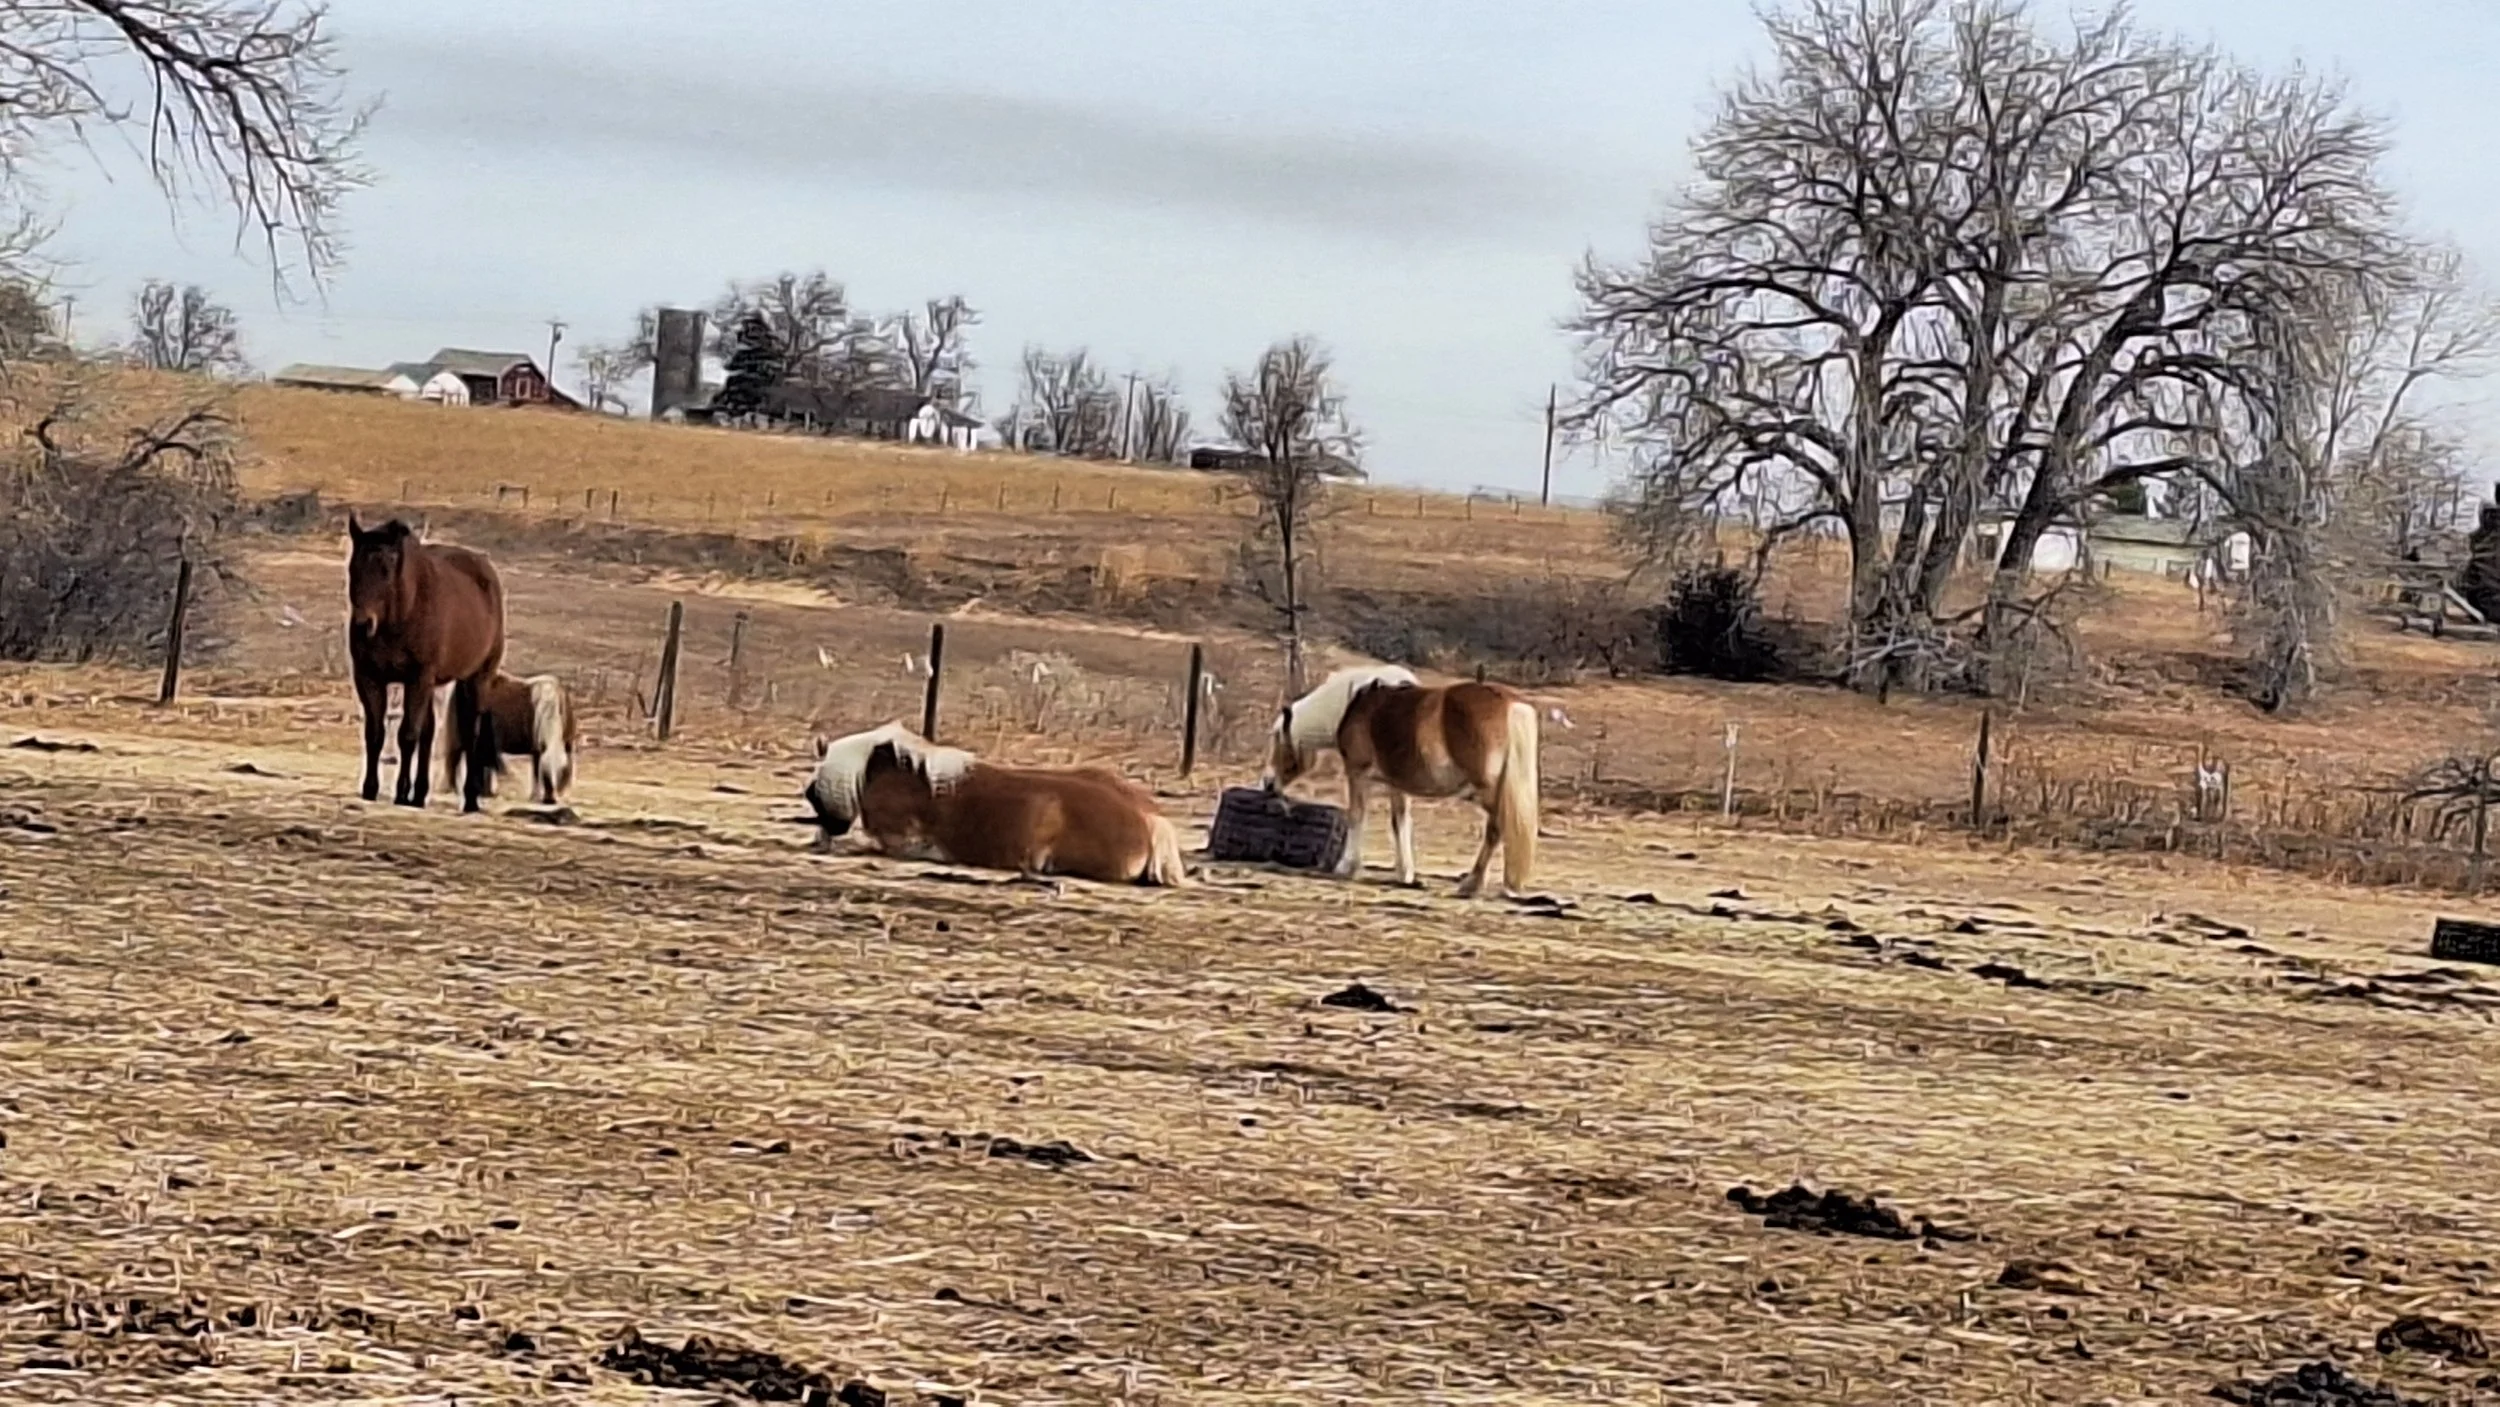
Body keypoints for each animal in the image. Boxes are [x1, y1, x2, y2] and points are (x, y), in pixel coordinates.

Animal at [344, 514, 505, 810]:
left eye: (386, 571)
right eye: (353, 569)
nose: (363, 625)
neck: (400, 615)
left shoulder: (417, 679)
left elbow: (408, 735)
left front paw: (400, 792)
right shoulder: (369, 678)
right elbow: (376, 734)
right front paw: (370, 789)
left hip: (476, 679)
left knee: (470, 733)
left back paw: (470, 799)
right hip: (431, 686)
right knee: (429, 732)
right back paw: (419, 795)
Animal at [459, 671, 579, 806]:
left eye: (562, 772)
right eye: (545, 774)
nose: (550, 800)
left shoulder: (544, 748)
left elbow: (535, 772)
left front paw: (535, 796)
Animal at [1263, 664, 1541, 898]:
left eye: (1278, 738)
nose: (1267, 783)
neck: (1357, 702)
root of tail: (1509, 703)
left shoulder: (1357, 774)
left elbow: (1356, 816)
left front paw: (1346, 866)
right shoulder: (1397, 785)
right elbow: (1400, 823)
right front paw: (1405, 873)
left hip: (1489, 791)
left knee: (1496, 828)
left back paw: (1472, 883)